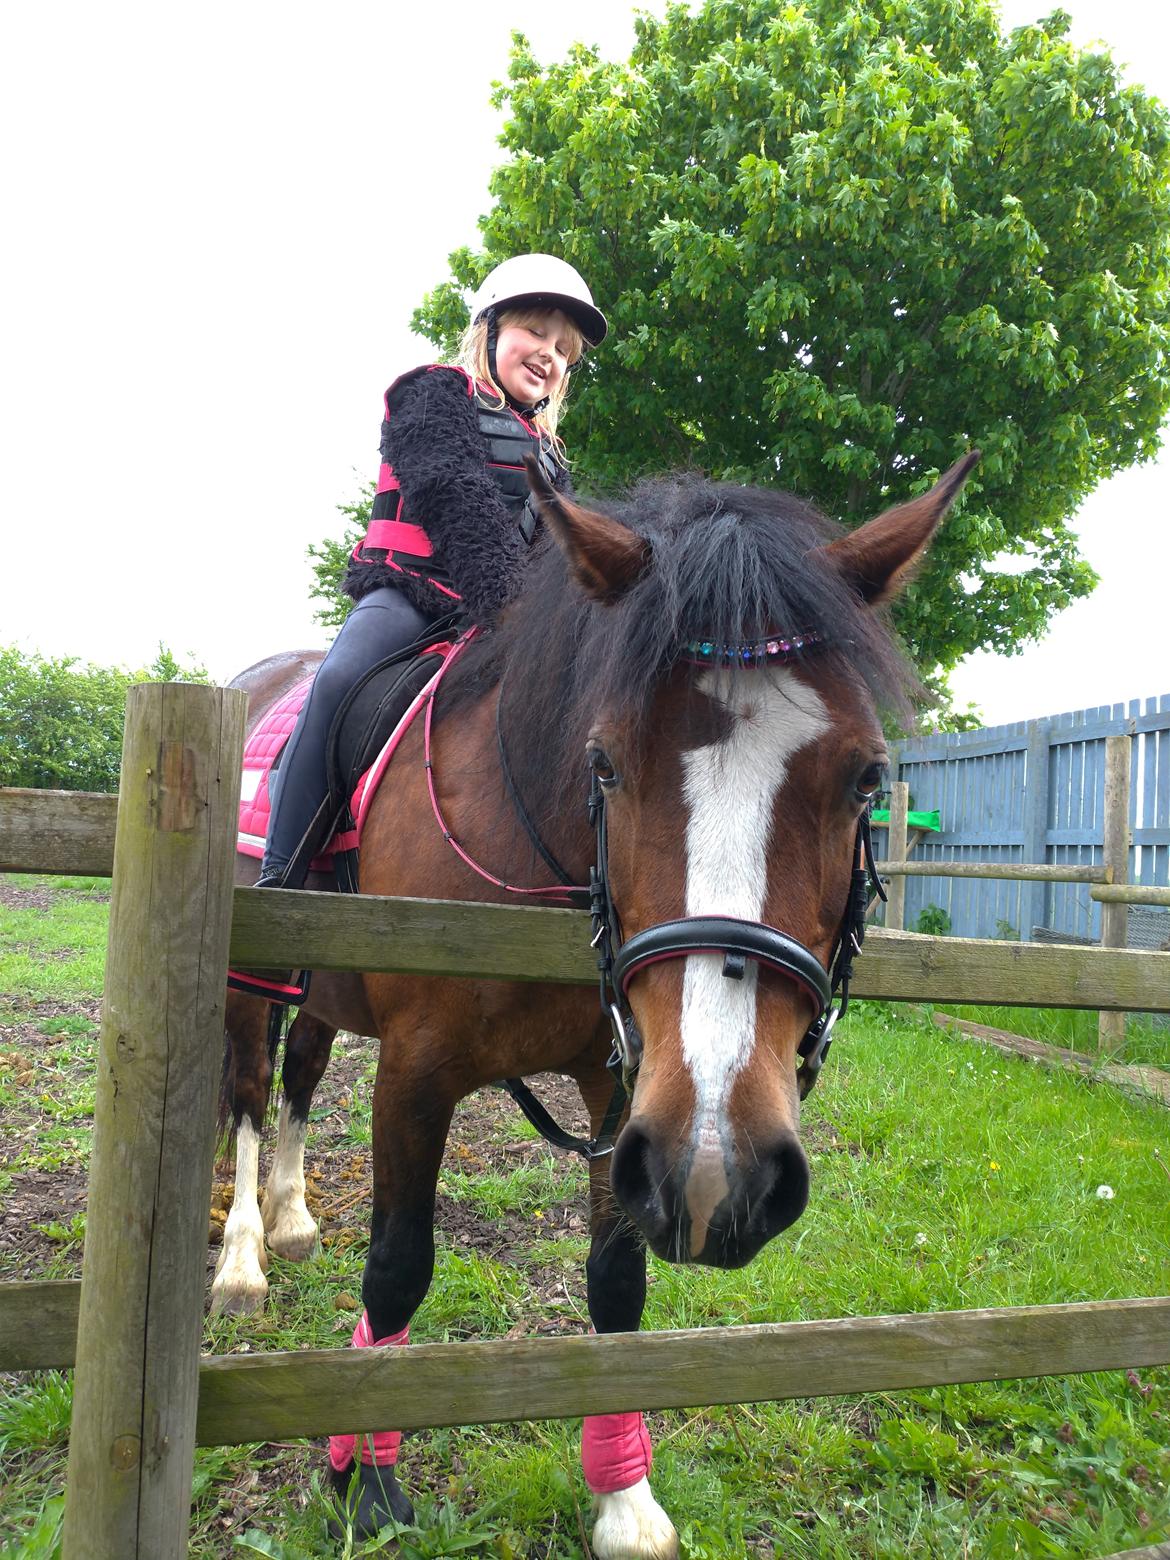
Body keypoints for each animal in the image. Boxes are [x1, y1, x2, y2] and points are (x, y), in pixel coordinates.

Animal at [213, 449, 979, 1547]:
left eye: (868, 780)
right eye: (605, 762)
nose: (731, 1174)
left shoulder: (630, 1096)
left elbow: (618, 1281)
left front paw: (624, 1497)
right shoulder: (415, 1073)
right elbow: (399, 1267)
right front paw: (364, 1479)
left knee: (301, 1077)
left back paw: (289, 1217)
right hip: (251, 975)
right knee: (244, 1090)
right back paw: (242, 1258)